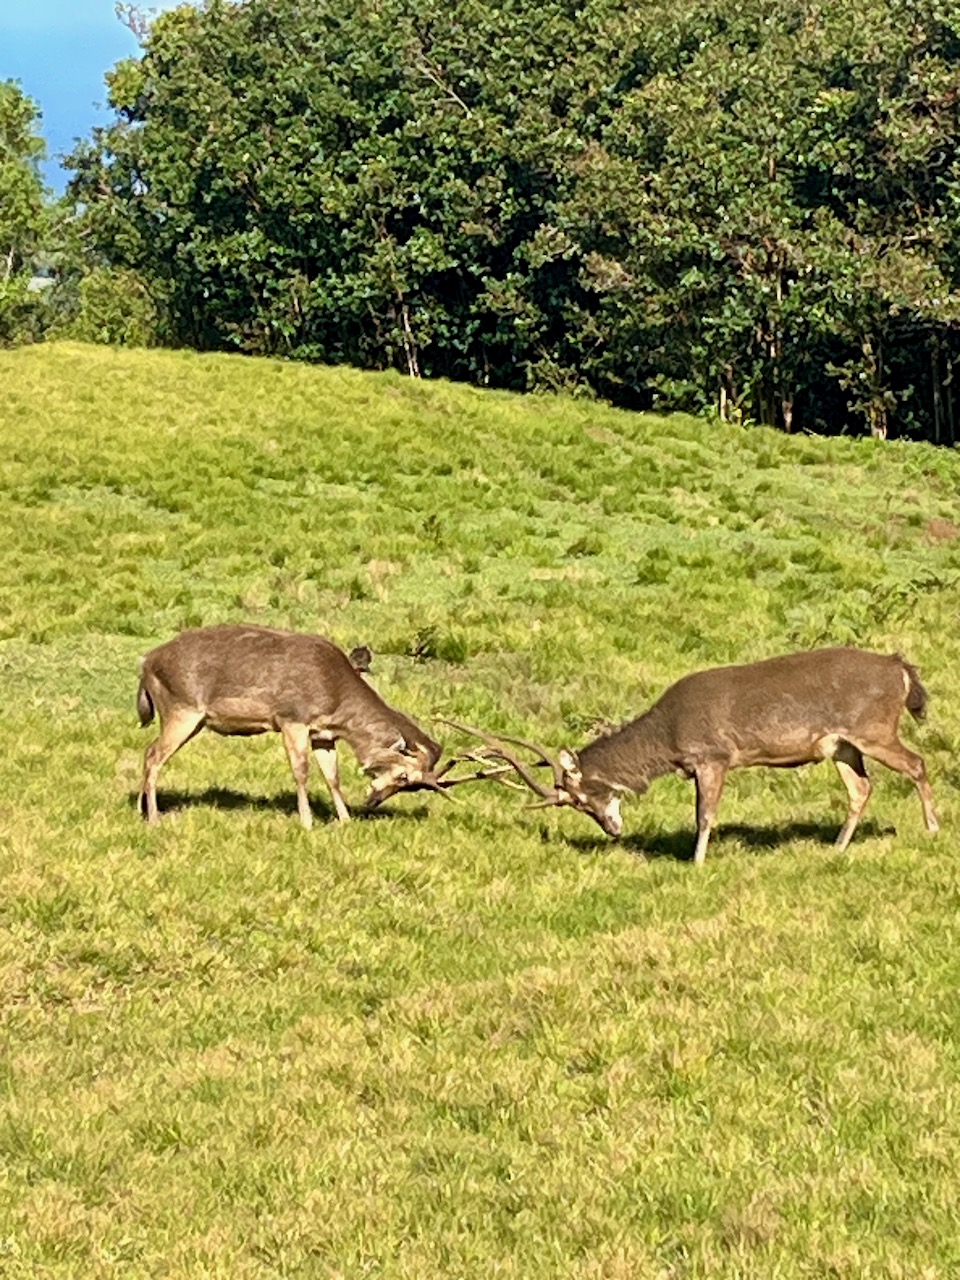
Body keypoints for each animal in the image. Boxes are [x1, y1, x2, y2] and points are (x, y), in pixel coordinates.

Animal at [138, 622, 506, 824]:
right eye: (404, 777)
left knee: (149, 753)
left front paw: (344, 820)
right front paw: (307, 821)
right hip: (182, 709)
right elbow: (301, 771)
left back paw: (142, 810)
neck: (336, 696)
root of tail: (147, 664)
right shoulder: (292, 718)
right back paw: (153, 817)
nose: (373, 802)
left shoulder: (323, 734)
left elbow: (332, 777)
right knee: (153, 755)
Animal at [448, 650, 942, 860]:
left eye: (582, 798)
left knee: (917, 763)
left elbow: (706, 815)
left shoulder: (713, 755)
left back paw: (933, 829)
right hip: (842, 743)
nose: (611, 830)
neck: (668, 739)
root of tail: (900, 670)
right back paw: (837, 848)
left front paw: (697, 860)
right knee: (862, 788)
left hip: (874, 728)